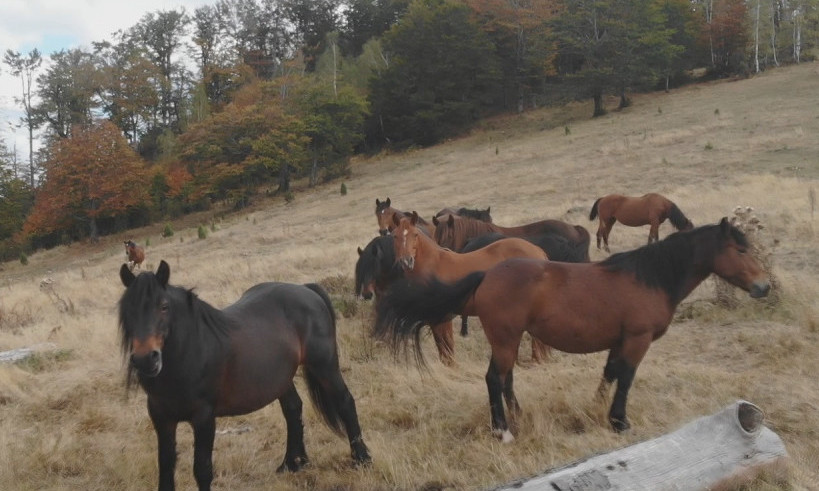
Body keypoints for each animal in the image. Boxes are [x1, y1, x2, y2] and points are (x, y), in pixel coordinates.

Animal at [118, 260, 372, 490]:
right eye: (127, 310)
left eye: (163, 306)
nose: (145, 359)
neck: (191, 352)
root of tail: (306, 289)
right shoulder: (162, 419)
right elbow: (165, 467)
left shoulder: (203, 417)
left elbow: (202, 469)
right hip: (280, 378)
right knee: (293, 409)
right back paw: (293, 463)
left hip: (324, 365)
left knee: (345, 402)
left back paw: (362, 459)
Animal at [390, 211, 552, 366]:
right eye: (395, 236)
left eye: (415, 235)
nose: (406, 262)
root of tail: (537, 250)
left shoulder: (442, 318)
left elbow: (447, 348)